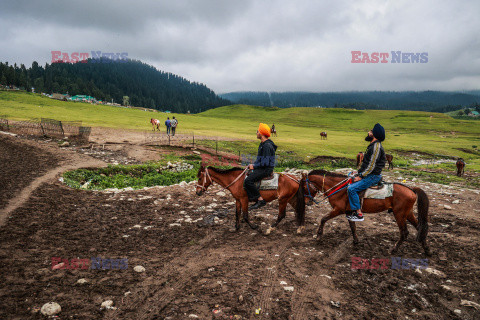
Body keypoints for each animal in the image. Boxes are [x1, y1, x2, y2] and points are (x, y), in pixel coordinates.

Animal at [302, 170, 430, 255]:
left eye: (303, 187)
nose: (306, 202)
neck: (339, 188)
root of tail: (411, 189)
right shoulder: (349, 211)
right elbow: (353, 227)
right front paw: (355, 241)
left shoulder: (338, 210)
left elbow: (323, 219)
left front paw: (319, 235)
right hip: (408, 213)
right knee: (420, 227)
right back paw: (427, 250)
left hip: (399, 214)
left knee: (404, 232)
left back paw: (394, 249)